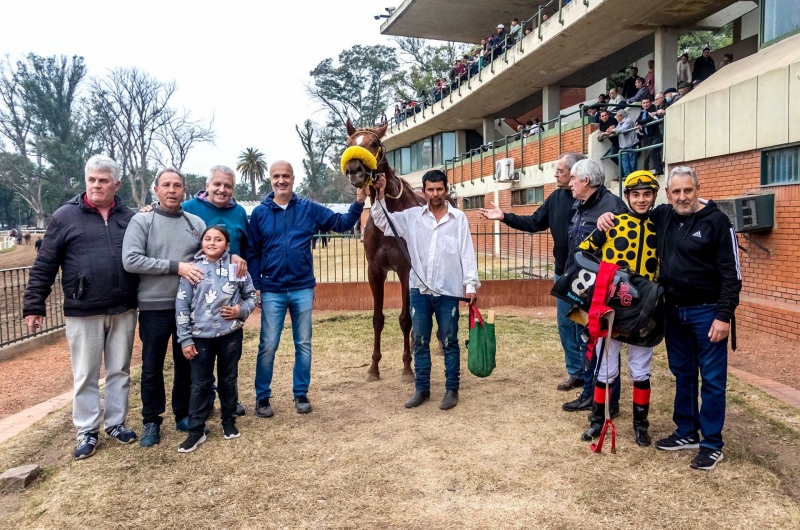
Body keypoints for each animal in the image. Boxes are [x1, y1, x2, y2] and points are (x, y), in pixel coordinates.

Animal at [340, 118, 424, 380]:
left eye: (374, 143)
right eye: (349, 144)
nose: (355, 170)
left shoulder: (406, 270)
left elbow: (406, 318)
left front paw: (407, 368)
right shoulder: (375, 270)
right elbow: (377, 319)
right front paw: (373, 367)